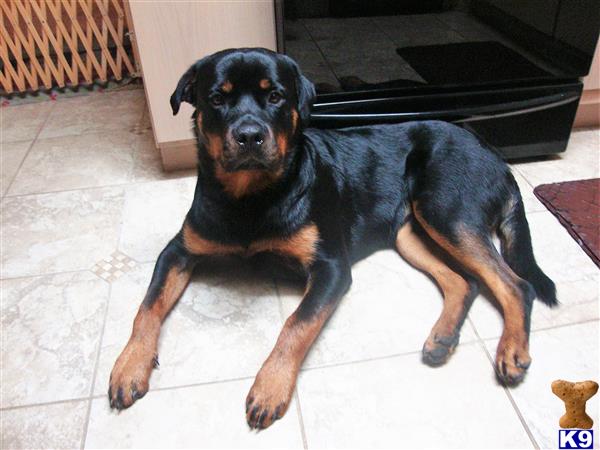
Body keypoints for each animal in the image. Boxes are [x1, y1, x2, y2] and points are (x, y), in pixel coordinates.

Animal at [109, 47, 556, 430]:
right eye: (217, 99)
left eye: (275, 97)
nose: (250, 135)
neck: (252, 196)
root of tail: (497, 157)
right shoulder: (179, 250)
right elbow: (146, 308)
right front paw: (129, 365)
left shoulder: (331, 268)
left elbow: (296, 324)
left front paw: (269, 387)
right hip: (411, 233)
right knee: (464, 281)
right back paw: (442, 337)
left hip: (446, 210)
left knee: (515, 284)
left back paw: (512, 352)